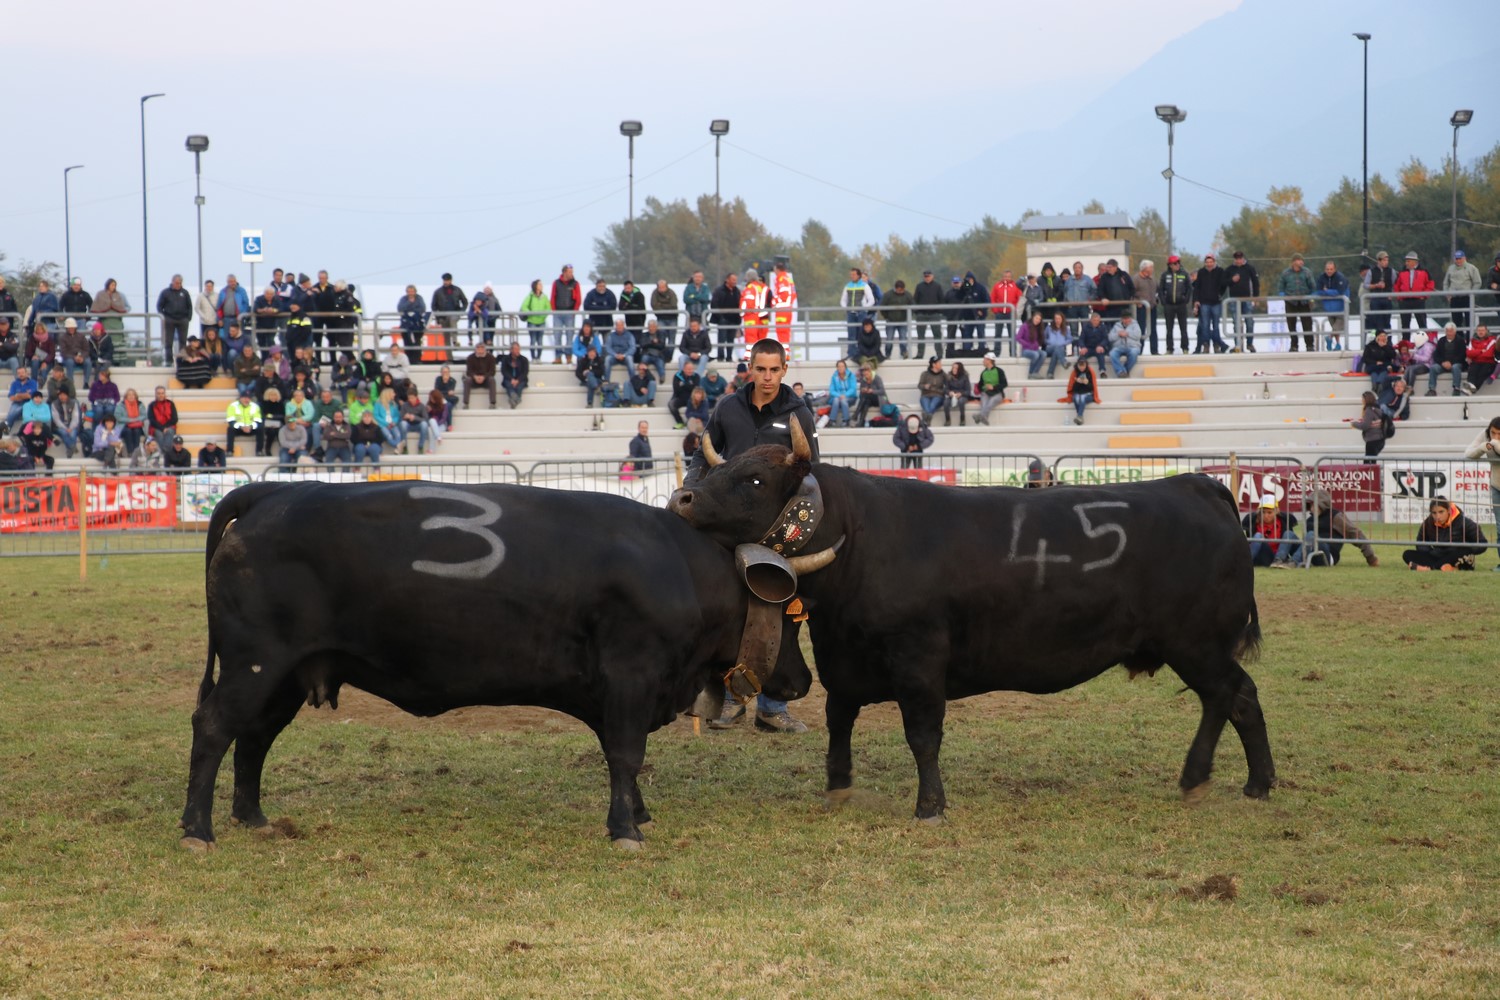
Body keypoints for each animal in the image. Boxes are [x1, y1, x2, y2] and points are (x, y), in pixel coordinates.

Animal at [180, 480, 834, 851]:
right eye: (794, 616)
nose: (804, 682)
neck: (678, 568)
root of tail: (274, 493)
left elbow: (622, 757)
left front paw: (636, 814)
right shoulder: (631, 677)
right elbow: (626, 753)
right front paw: (626, 831)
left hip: (286, 675)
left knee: (254, 738)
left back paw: (253, 817)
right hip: (256, 666)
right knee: (214, 728)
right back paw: (197, 830)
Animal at [667, 423, 1274, 823]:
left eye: (753, 480)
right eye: (719, 467)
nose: (682, 496)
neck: (861, 537)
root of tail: (1196, 485)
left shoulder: (919, 661)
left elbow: (922, 733)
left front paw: (930, 806)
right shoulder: (844, 661)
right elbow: (840, 719)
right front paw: (838, 787)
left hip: (1197, 644)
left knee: (1230, 695)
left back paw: (1202, 778)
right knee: (1239, 698)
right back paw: (1256, 783)